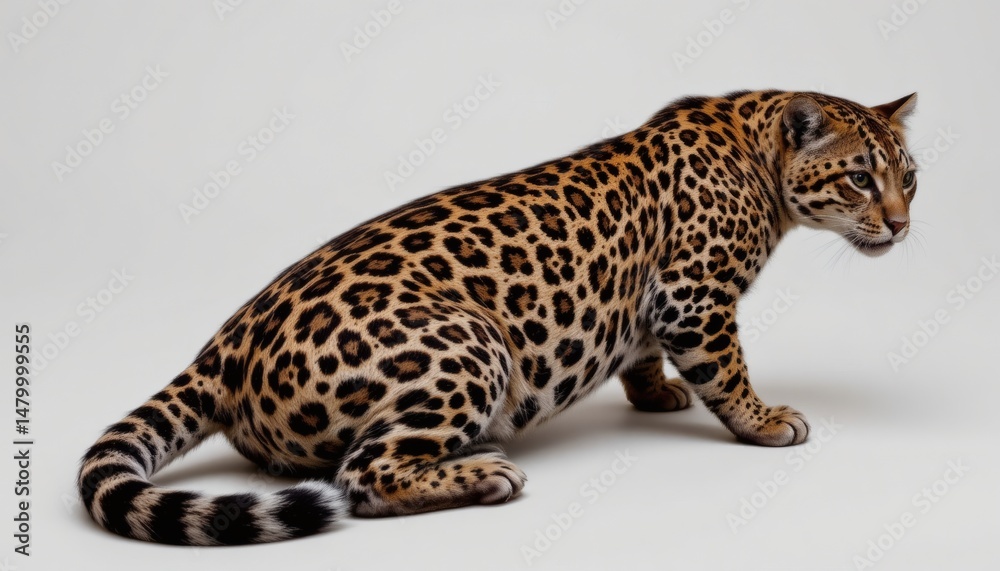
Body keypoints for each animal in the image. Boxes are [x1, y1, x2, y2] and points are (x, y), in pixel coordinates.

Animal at [78, 89, 918, 545]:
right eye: (858, 178)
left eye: (909, 175)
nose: (904, 225)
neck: (756, 150)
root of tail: (222, 347)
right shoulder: (695, 292)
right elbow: (728, 367)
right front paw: (765, 418)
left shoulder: (653, 300)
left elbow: (643, 349)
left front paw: (655, 392)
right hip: (469, 344)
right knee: (362, 475)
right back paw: (485, 472)